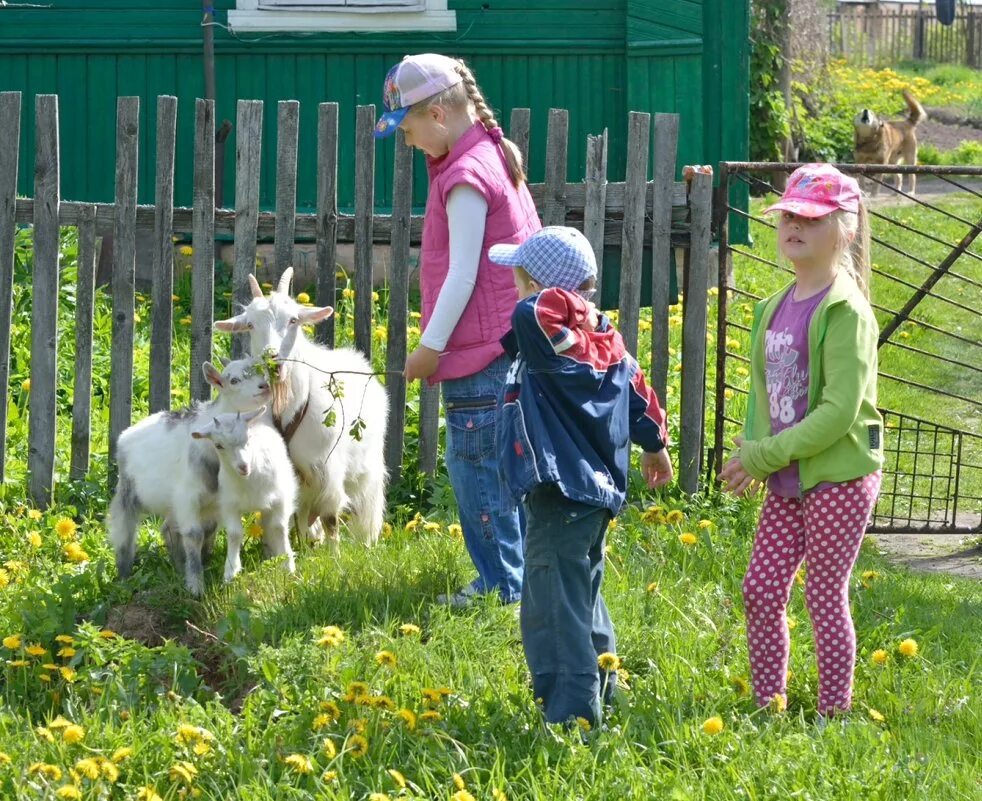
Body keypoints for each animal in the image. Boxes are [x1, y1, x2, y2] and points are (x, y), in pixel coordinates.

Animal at [107, 356, 272, 592]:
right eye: (234, 380)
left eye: (262, 372)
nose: (264, 386)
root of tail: (124, 436)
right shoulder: (188, 496)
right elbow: (194, 534)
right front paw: (196, 585)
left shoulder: (215, 500)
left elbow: (209, 530)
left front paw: (204, 563)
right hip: (127, 493)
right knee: (124, 532)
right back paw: (124, 577)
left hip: (172, 503)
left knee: (168, 528)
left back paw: (177, 565)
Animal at [191, 410, 296, 584]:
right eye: (218, 445)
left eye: (248, 438)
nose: (243, 466)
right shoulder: (229, 505)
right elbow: (234, 534)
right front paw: (230, 571)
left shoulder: (281, 498)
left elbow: (279, 528)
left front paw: (288, 565)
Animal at [217, 272, 390, 548]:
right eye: (250, 325)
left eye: (293, 320)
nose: (273, 361)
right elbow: (292, 514)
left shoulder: (327, 467)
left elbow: (331, 517)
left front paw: (334, 553)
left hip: (367, 466)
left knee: (366, 504)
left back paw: (366, 542)